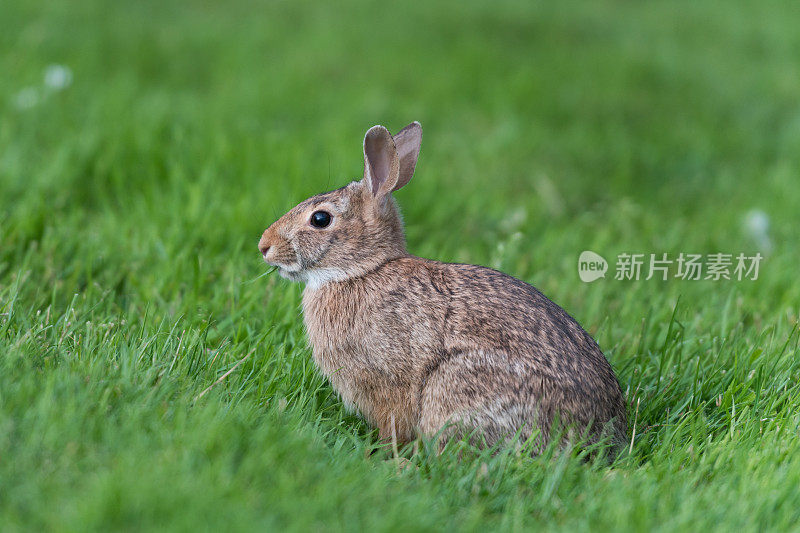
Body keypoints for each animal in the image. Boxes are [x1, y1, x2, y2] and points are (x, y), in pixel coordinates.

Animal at [260, 122, 628, 456]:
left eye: (320, 219)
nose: (264, 246)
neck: (363, 270)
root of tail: (602, 439)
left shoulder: (388, 381)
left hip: (457, 388)